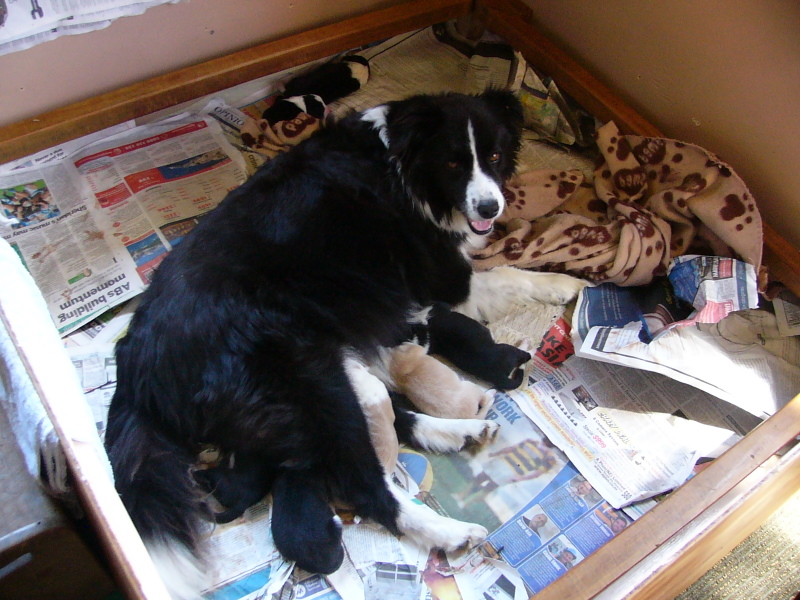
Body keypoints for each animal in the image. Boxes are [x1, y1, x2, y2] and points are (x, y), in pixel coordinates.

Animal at [104, 89, 586, 598]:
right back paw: (449, 531)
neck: (403, 162)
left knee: (386, 419)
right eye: (453, 163)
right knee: (364, 482)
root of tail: (136, 362)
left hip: (320, 378)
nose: (491, 209)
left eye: (493, 156)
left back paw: (461, 432)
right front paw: (570, 285)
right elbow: (513, 274)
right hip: (309, 382)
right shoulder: (448, 283)